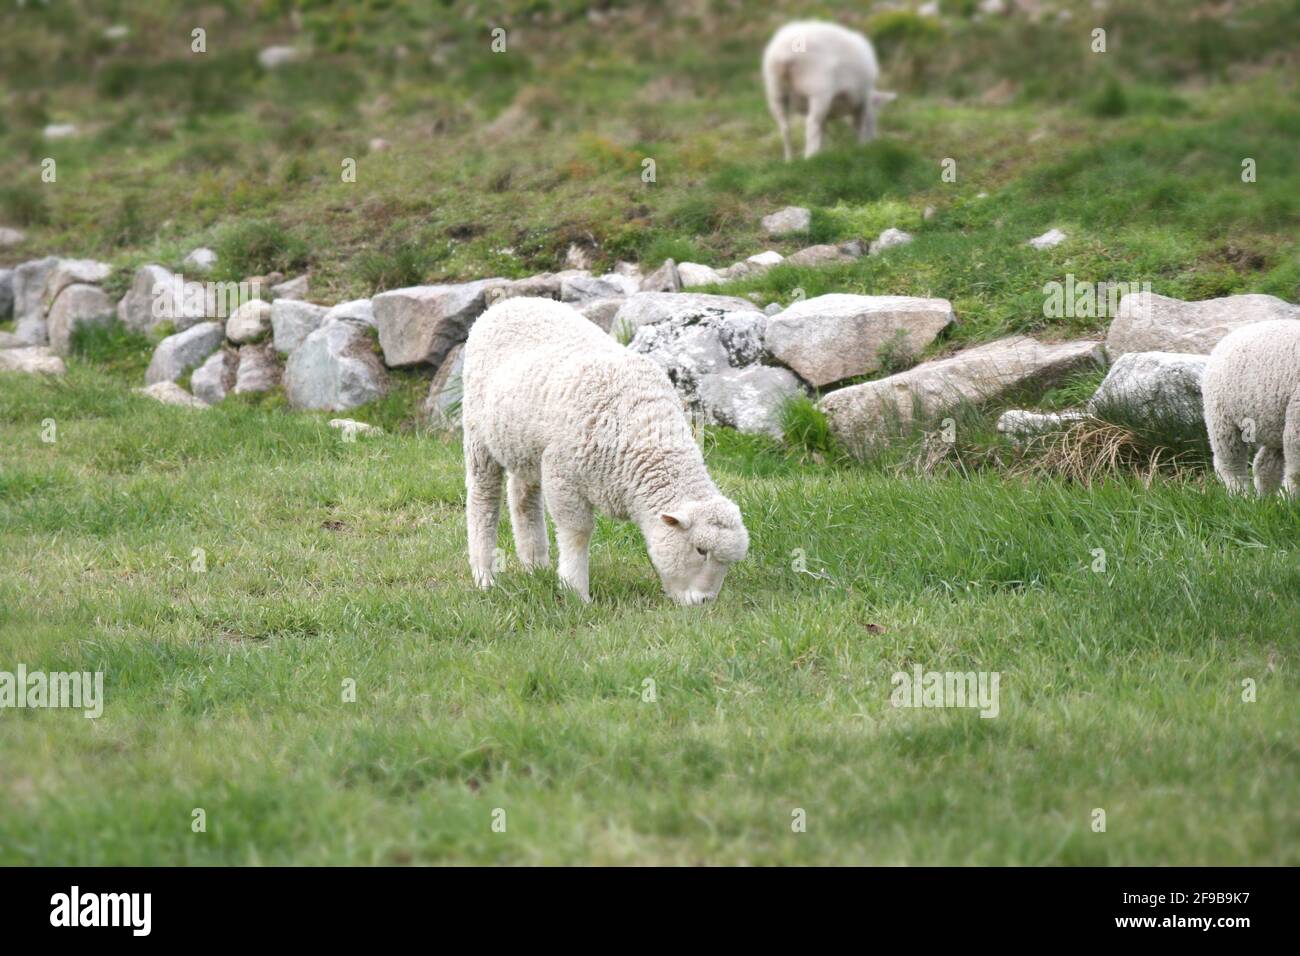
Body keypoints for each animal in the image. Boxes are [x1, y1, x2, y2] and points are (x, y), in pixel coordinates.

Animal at [462, 297, 754, 606]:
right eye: (700, 550)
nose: (705, 602)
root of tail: (513, 301)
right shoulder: (563, 474)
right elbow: (578, 533)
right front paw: (576, 592)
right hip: (478, 435)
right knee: (483, 500)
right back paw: (484, 576)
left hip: (523, 445)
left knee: (523, 499)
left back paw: (535, 565)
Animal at [759, 19, 894, 160]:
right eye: (877, 116)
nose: (873, 142)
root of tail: (783, 52)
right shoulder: (863, 99)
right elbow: (861, 122)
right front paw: (862, 147)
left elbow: (824, 130)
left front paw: (825, 152)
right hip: (818, 89)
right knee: (811, 124)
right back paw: (809, 156)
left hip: (775, 92)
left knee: (785, 128)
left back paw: (790, 159)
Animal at [1196, 323, 1300, 502]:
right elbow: (1296, 471)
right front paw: (1290, 500)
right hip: (1220, 417)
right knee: (1229, 463)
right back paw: (1240, 496)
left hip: (1275, 421)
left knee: (1263, 464)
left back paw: (1266, 500)